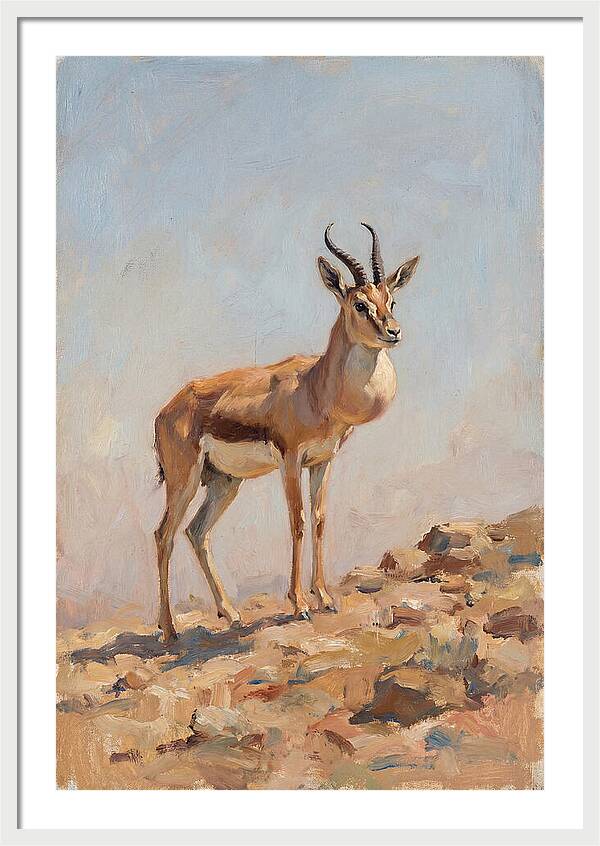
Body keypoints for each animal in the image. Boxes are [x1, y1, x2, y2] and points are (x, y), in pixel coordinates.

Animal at [153, 223, 419, 642]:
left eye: (390, 298)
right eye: (359, 304)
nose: (393, 332)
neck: (315, 388)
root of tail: (167, 410)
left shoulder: (323, 461)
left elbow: (320, 520)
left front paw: (324, 597)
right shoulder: (291, 460)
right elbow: (297, 522)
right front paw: (299, 604)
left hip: (224, 482)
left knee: (196, 532)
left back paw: (231, 615)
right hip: (185, 479)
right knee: (163, 535)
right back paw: (169, 630)